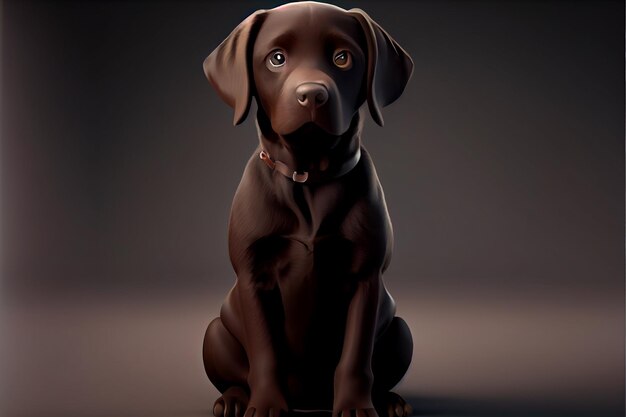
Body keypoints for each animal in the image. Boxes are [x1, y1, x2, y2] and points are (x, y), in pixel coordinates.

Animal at [202, 3, 412, 416]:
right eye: (277, 58)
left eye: (343, 58)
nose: (312, 95)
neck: (310, 177)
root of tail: (310, 401)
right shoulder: (254, 277)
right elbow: (265, 352)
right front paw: (266, 405)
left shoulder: (365, 279)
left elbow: (355, 356)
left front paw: (355, 406)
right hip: (215, 332)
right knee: (235, 371)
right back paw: (233, 399)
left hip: (400, 331)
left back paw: (390, 401)